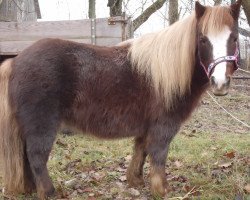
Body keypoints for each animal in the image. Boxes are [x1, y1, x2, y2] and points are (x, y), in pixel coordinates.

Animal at [0, 1, 242, 198]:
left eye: (234, 38)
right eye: (203, 39)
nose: (220, 83)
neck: (165, 73)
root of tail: (15, 62)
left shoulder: (146, 127)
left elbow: (140, 151)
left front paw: (136, 180)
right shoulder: (163, 127)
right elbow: (158, 155)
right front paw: (161, 189)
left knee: (25, 157)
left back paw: (30, 188)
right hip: (42, 126)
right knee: (36, 156)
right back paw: (49, 192)